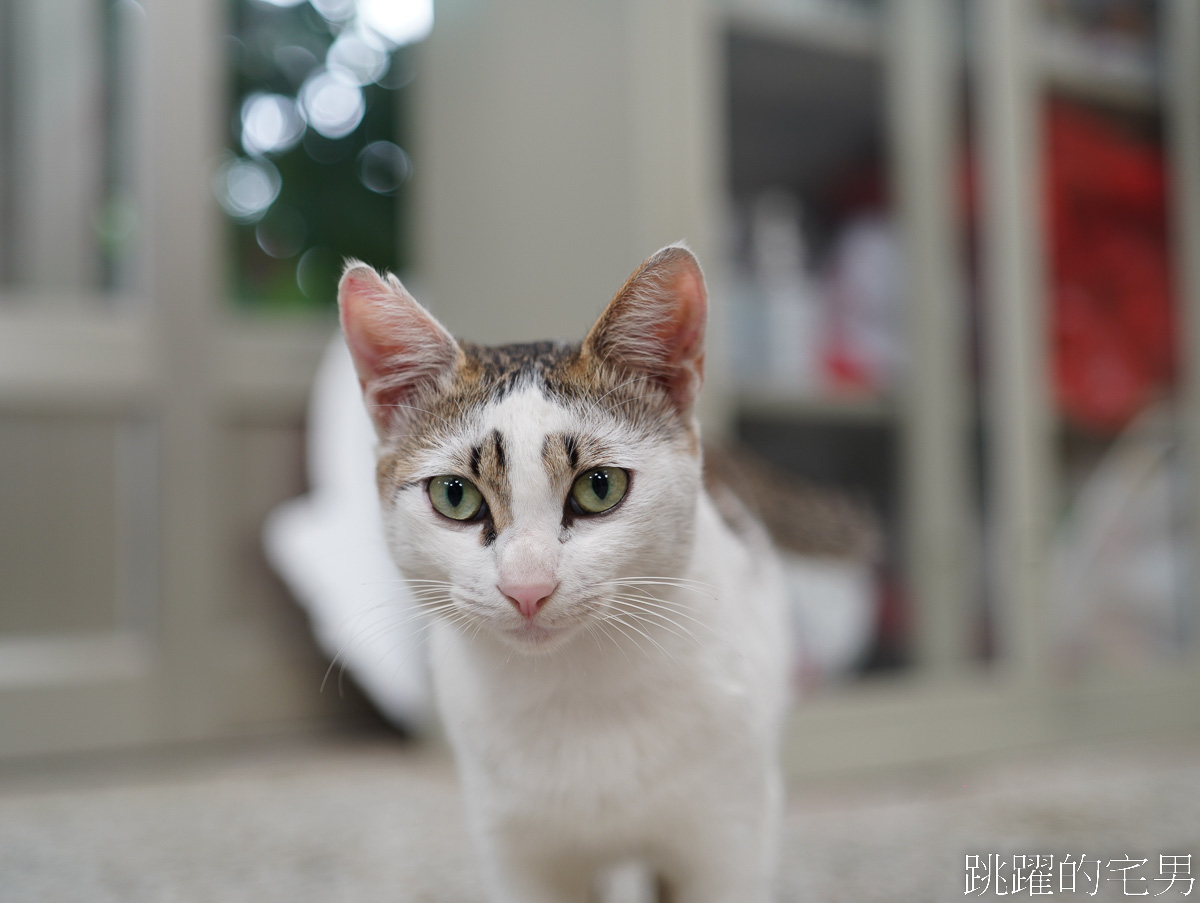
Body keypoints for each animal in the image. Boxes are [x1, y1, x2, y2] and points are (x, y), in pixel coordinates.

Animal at [338, 241, 792, 903]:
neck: (576, 694)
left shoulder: (729, 833)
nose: (527, 587)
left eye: (599, 488)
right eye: (455, 496)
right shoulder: (517, 848)